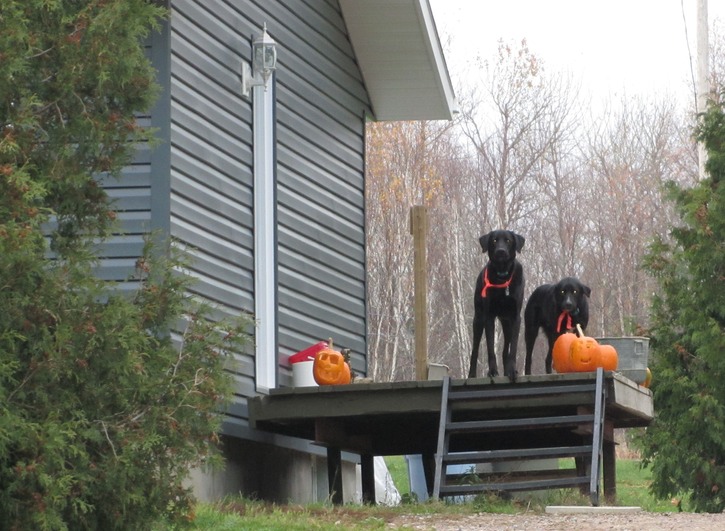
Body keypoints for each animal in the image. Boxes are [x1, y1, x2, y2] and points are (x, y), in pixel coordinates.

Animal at [466, 231, 524, 380]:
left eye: (508, 241)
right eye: (494, 241)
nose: (501, 251)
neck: (502, 276)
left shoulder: (516, 317)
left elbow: (513, 347)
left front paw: (512, 370)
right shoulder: (489, 317)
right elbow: (490, 347)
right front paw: (492, 371)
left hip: (507, 323)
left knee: (505, 349)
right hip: (478, 319)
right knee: (475, 348)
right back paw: (471, 374)